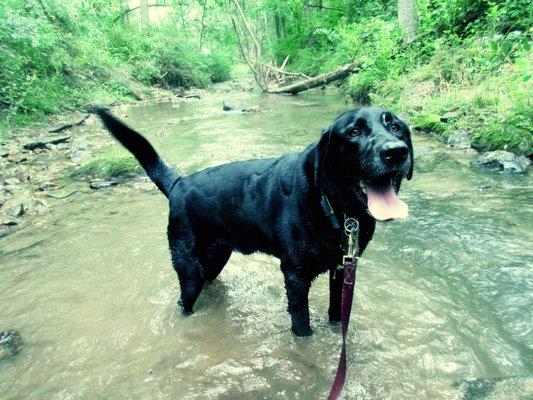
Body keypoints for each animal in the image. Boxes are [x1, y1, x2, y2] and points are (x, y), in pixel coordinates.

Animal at [96, 107, 412, 338]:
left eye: (395, 127)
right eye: (354, 131)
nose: (396, 151)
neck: (334, 206)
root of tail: (178, 183)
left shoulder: (342, 268)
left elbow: (337, 314)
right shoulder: (295, 275)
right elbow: (302, 324)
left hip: (215, 259)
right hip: (189, 268)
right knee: (185, 301)